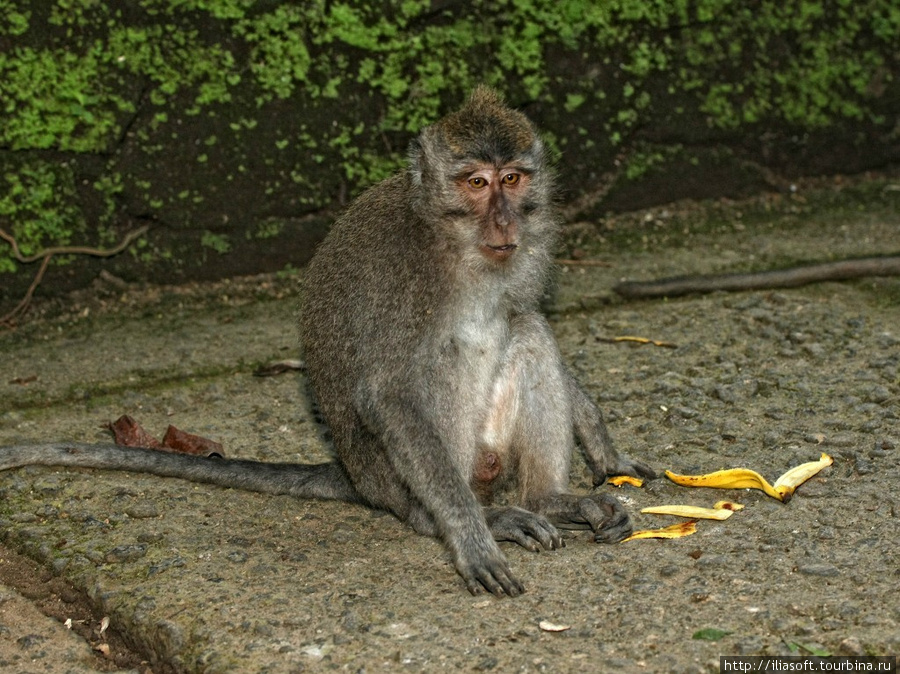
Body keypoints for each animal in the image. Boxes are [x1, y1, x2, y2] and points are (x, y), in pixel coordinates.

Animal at [0, 86, 652, 596]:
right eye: (475, 182)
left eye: (511, 179)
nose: (504, 220)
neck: (455, 246)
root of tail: (359, 480)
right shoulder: (402, 277)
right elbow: (389, 393)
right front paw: (471, 540)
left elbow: (525, 313)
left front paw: (602, 445)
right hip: (404, 477)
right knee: (437, 369)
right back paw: (476, 517)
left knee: (524, 329)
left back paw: (548, 500)